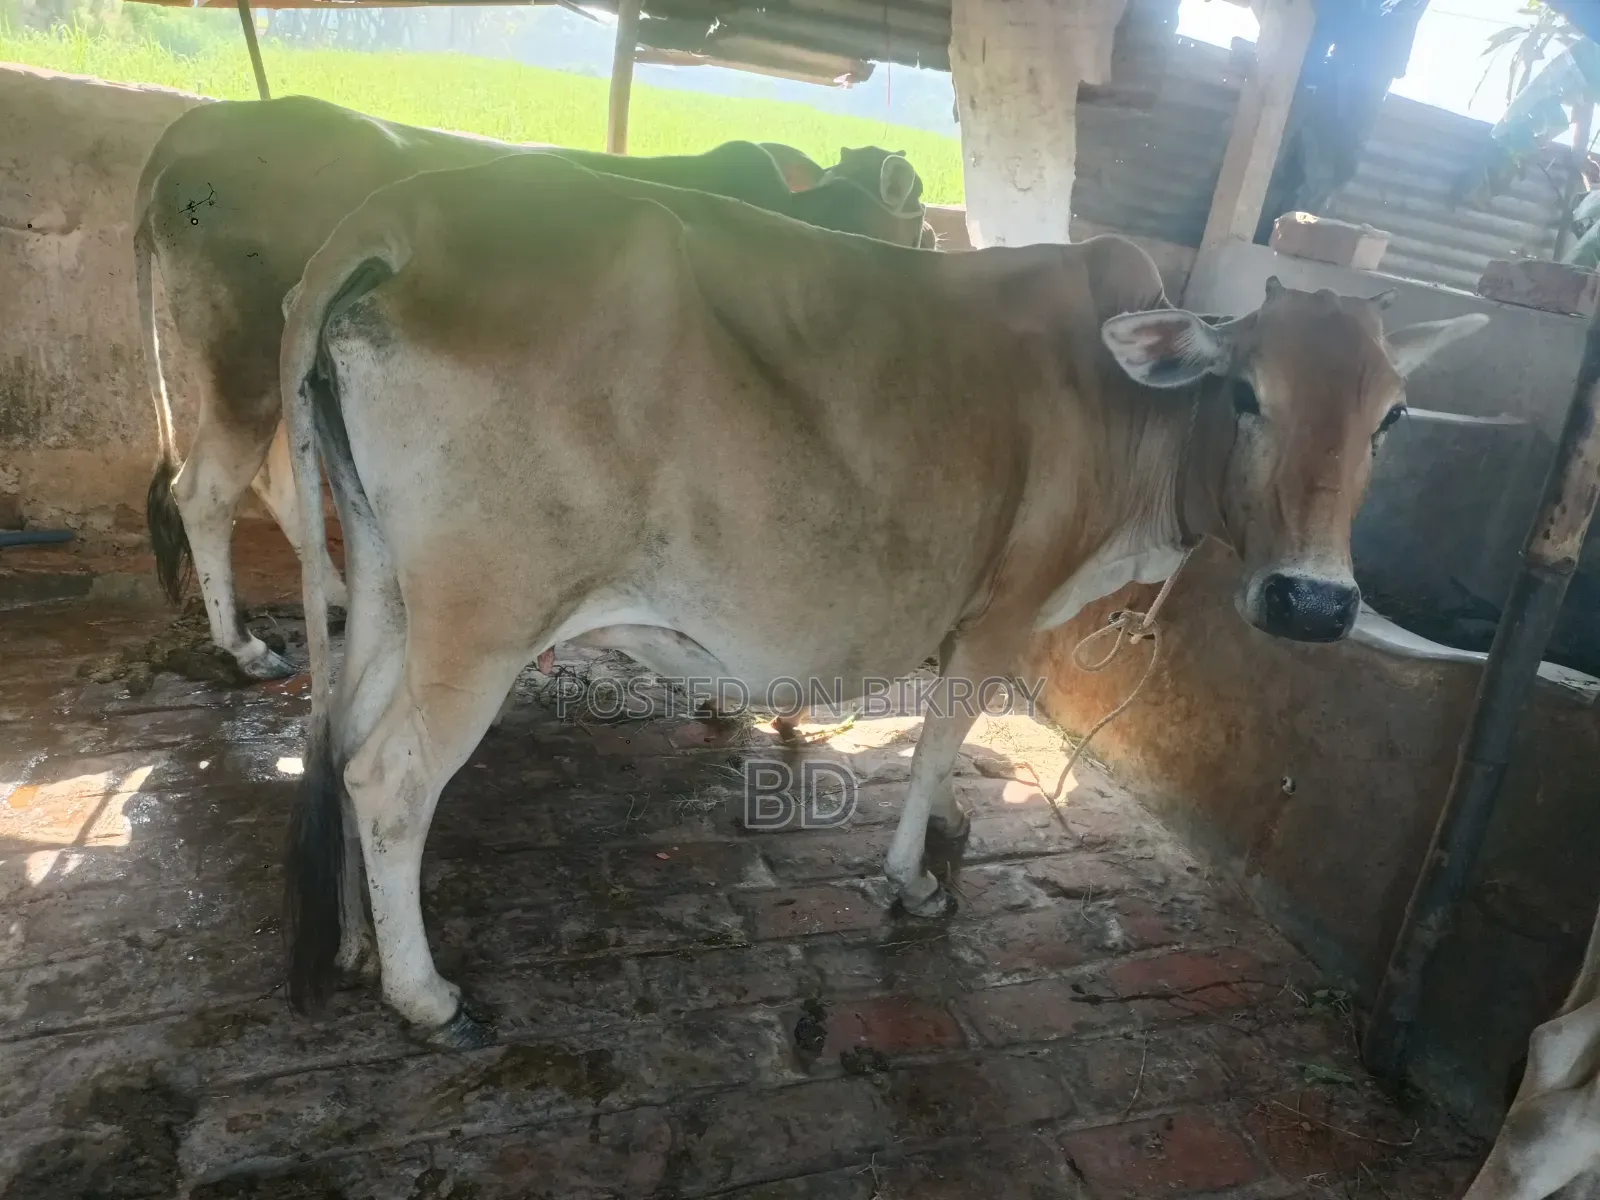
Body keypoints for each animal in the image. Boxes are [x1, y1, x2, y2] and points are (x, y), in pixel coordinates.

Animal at [135, 96, 928, 683]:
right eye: (919, 215)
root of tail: (197, 127)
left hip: (268, 378)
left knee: (275, 483)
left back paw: (333, 595)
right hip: (240, 364)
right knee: (203, 492)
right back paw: (244, 647)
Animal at [276, 152, 1488, 1048]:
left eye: (1390, 416)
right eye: (1245, 394)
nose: (1312, 603)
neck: (1128, 420)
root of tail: (402, 215)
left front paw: (947, 832)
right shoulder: (1001, 609)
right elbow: (945, 732)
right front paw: (914, 879)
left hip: (387, 583)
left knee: (340, 735)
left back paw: (352, 941)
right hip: (486, 614)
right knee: (390, 778)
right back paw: (426, 996)